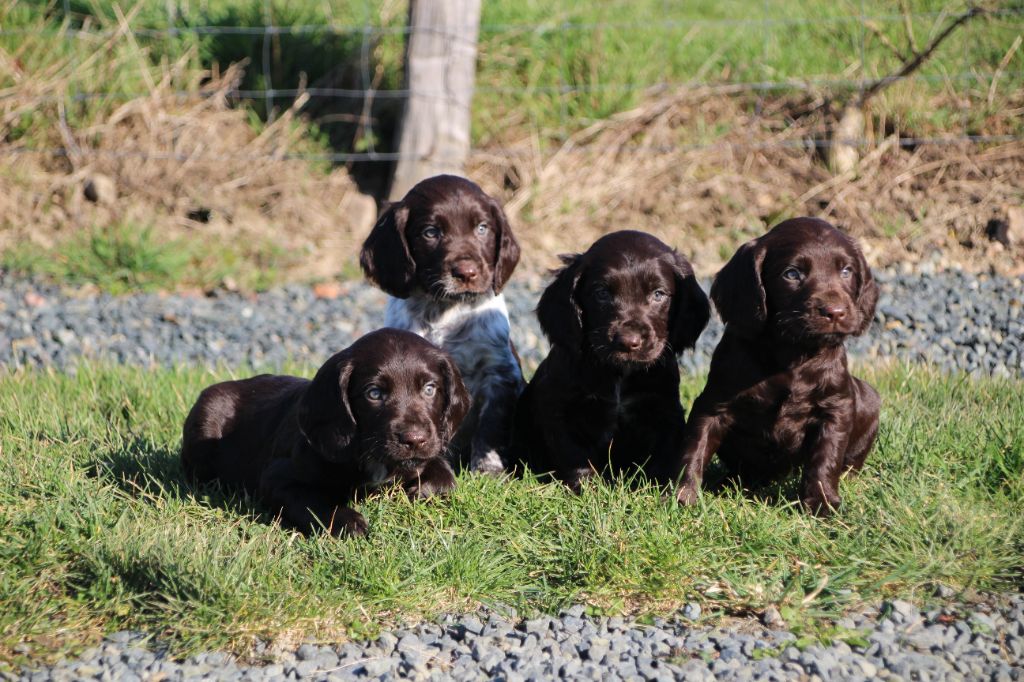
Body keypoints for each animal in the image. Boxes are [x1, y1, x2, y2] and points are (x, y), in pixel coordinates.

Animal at [182, 327, 468, 532]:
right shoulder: (276, 477)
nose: (414, 440)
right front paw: (349, 521)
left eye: (429, 389)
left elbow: (446, 479)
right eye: (374, 394)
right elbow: (314, 503)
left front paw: (420, 491)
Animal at [360, 175, 524, 473]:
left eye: (482, 228)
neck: (445, 309)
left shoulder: (500, 371)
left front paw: (488, 469)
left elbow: (491, 425)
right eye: (431, 232)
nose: (467, 273)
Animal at [512, 228, 712, 489]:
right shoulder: (558, 408)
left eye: (658, 294)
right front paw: (590, 487)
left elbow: (664, 453)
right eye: (602, 293)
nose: (629, 341)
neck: (620, 373)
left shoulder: (664, 409)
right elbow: (573, 453)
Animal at [675, 216, 884, 509]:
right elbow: (695, 447)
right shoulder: (714, 403)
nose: (835, 313)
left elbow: (826, 458)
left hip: (868, 399)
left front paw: (821, 502)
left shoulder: (836, 407)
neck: (792, 352)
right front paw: (682, 496)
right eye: (792, 274)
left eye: (846, 271)